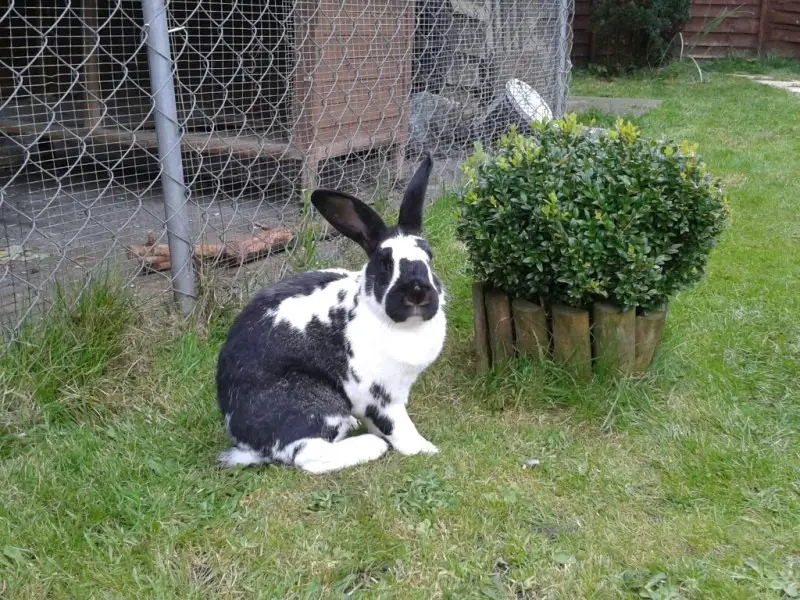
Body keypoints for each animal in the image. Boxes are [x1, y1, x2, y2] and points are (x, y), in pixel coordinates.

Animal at [216, 154, 446, 474]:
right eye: (385, 264)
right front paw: (426, 449)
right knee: (307, 455)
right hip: (316, 403)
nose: (417, 292)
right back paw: (370, 446)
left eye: (429, 257)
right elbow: (398, 426)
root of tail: (246, 441)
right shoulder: (379, 396)